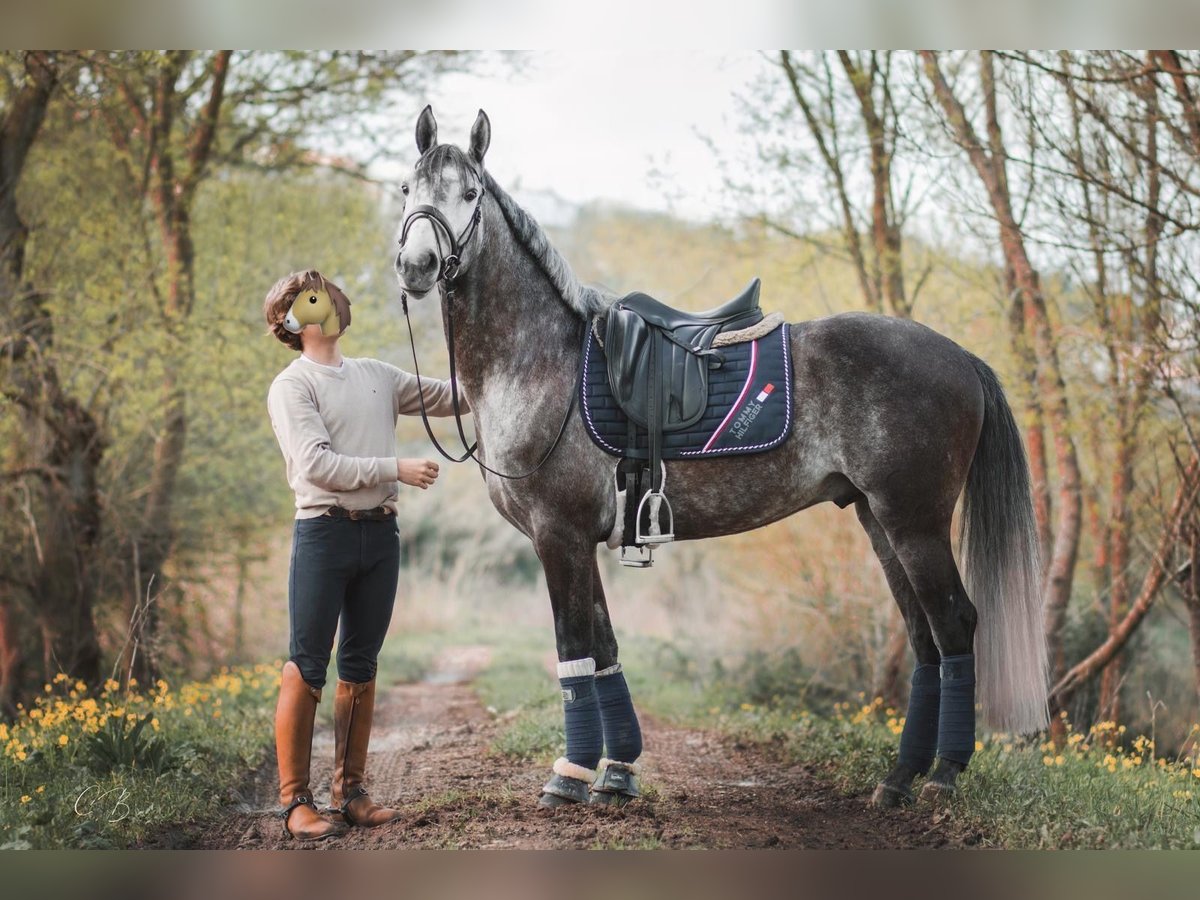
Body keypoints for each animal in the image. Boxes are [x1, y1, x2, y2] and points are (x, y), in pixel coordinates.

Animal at [396, 105, 1051, 811]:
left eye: (469, 194)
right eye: (408, 188)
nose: (417, 263)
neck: (543, 361)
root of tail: (960, 357)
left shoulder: (558, 535)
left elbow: (575, 651)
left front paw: (569, 775)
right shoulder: (583, 540)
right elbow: (605, 649)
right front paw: (617, 773)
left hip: (915, 522)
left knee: (954, 626)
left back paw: (945, 772)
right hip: (881, 521)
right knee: (925, 636)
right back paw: (900, 777)